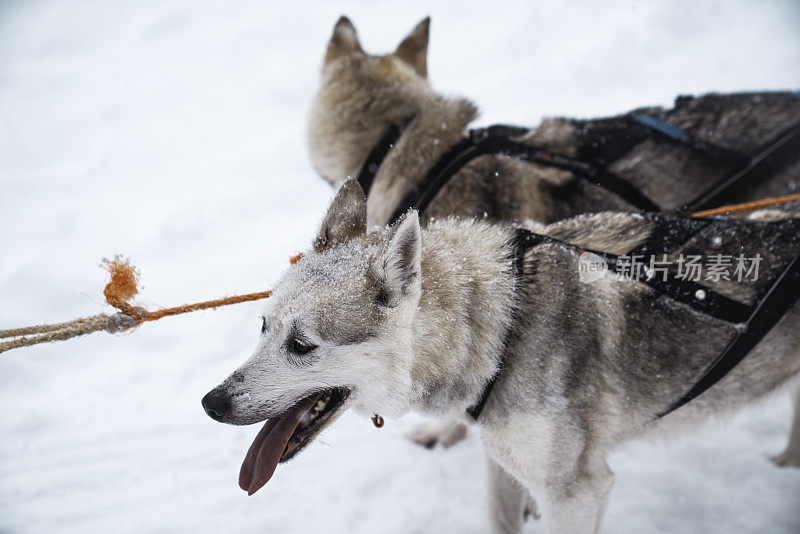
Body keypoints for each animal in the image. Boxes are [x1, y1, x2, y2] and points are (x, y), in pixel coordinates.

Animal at [203, 181, 800, 534]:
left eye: (302, 345)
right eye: (263, 327)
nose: (212, 403)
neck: (505, 330)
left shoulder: (576, 494)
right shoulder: (503, 463)